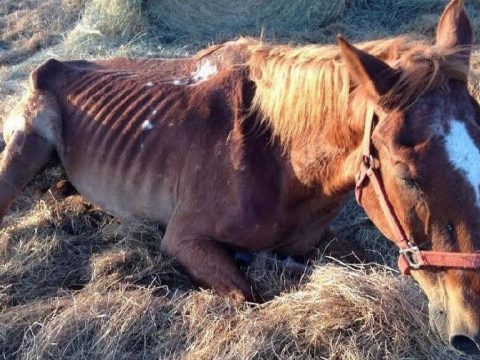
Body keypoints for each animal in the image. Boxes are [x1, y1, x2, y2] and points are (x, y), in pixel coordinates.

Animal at [2, 0, 480, 354]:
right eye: (407, 175)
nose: (471, 329)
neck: (277, 160)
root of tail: (54, 64)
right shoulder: (185, 240)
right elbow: (249, 296)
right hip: (26, 145)